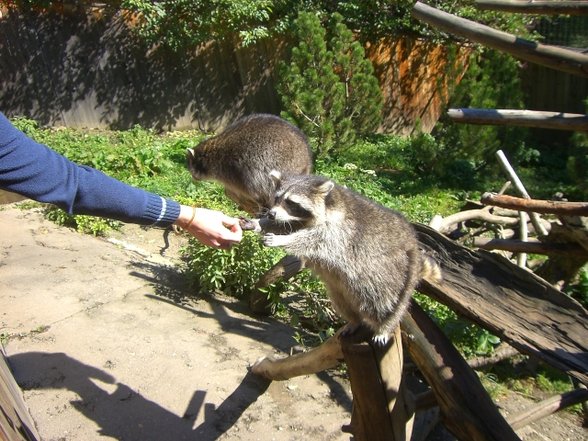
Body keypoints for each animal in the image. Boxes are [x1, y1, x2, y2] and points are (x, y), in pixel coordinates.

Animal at [260, 170, 438, 346]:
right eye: (277, 198)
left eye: (291, 202)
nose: (271, 214)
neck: (329, 204)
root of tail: (413, 245)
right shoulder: (302, 221)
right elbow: (288, 226)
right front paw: (261, 224)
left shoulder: (340, 231)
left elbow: (313, 240)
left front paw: (283, 240)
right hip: (339, 290)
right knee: (343, 303)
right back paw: (354, 321)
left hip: (396, 275)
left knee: (386, 303)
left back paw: (385, 326)